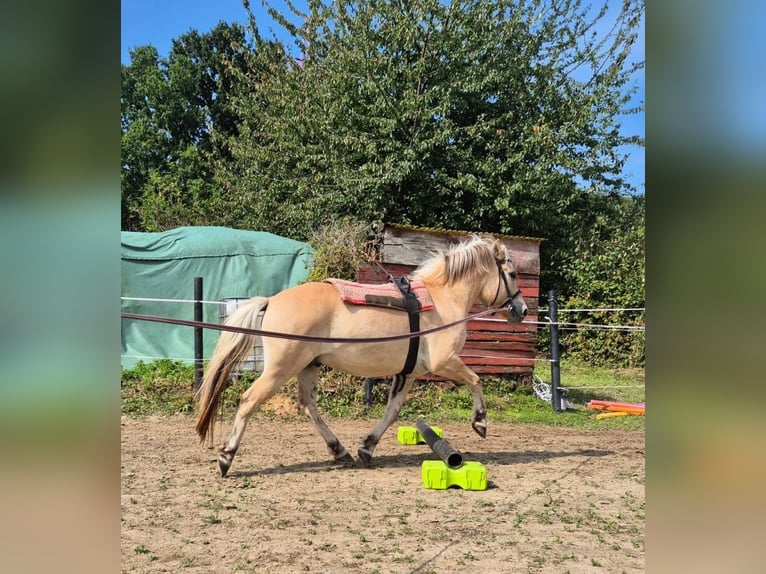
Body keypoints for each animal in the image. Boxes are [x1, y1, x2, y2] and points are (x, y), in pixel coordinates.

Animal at [196, 234, 528, 476]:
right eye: (511, 274)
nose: (521, 310)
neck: (441, 298)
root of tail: (272, 301)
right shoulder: (444, 362)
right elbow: (475, 380)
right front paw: (480, 423)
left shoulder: (407, 373)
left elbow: (392, 411)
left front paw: (367, 448)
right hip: (280, 369)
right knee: (249, 401)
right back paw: (226, 458)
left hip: (308, 367)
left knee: (307, 405)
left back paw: (339, 451)